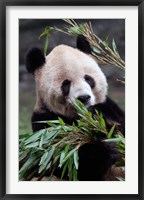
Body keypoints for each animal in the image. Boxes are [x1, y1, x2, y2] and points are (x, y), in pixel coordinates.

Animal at [25, 36, 125, 181]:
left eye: (88, 78)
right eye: (66, 84)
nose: (84, 98)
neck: (79, 115)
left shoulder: (110, 105)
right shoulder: (45, 123)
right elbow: (67, 163)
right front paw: (108, 148)